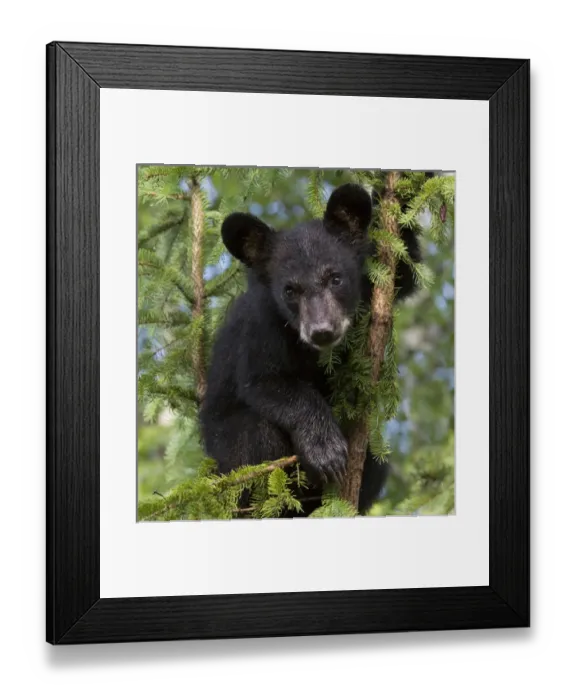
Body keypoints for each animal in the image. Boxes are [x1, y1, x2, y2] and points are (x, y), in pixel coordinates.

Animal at [198, 182, 421, 516]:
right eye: (290, 290)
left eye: (335, 278)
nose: (322, 331)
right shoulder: (260, 326)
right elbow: (266, 381)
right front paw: (325, 450)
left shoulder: (372, 284)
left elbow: (403, 267)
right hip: (226, 455)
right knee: (255, 438)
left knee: (376, 465)